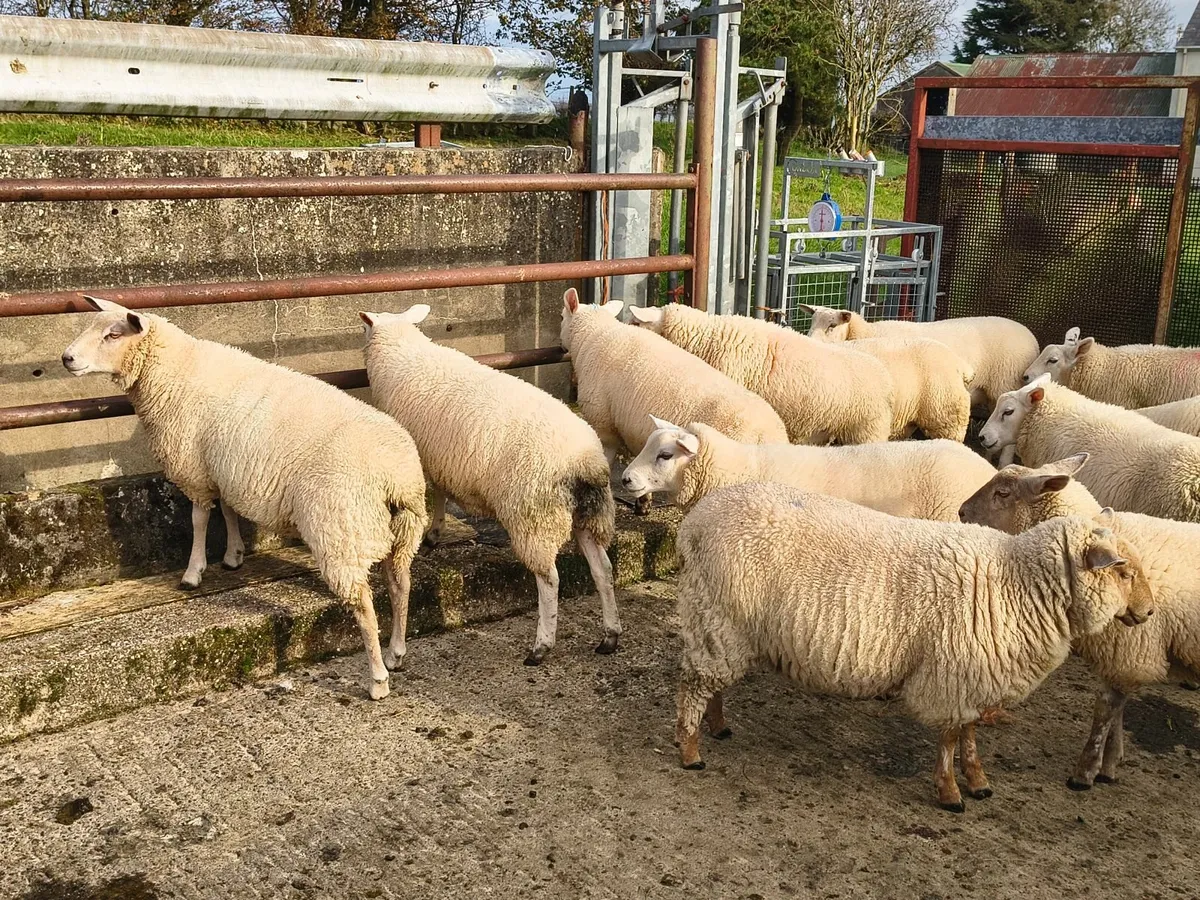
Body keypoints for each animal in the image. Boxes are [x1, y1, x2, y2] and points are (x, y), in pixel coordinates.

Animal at [62, 298, 427, 701]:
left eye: (113, 335)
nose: (66, 358)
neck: (174, 368)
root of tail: (395, 476)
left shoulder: (195, 468)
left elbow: (199, 518)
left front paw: (193, 573)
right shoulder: (225, 467)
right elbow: (228, 509)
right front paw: (234, 555)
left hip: (340, 529)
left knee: (363, 604)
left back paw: (378, 679)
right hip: (401, 529)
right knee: (401, 584)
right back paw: (396, 652)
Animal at [360, 303, 621, 666]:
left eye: (365, 328)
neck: (403, 352)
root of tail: (586, 461)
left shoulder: (422, 460)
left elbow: (435, 494)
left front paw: (433, 531)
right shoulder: (442, 458)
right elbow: (441, 491)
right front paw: (436, 532)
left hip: (534, 516)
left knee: (550, 579)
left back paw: (541, 646)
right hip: (587, 515)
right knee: (603, 570)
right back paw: (610, 635)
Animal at [673, 481, 1152, 812]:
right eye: (1123, 572)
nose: (1148, 612)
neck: (1015, 582)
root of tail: (695, 521)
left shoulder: (974, 673)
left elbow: (969, 733)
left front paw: (977, 781)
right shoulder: (952, 673)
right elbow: (949, 737)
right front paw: (951, 792)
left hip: (726, 626)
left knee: (712, 683)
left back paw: (718, 726)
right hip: (716, 615)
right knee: (693, 685)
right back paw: (691, 751)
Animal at [802, 305, 1039, 409]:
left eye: (832, 325)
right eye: (812, 322)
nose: (808, 341)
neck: (869, 332)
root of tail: (1033, 339)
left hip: (1005, 382)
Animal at [959, 455, 1198, 790]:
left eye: (1003, 493)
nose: (961, 512)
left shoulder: (1130, 649)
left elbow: (1106, 709)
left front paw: (1087, 771)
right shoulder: (1123, 652)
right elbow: (1117, 709)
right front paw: (1110, 763)